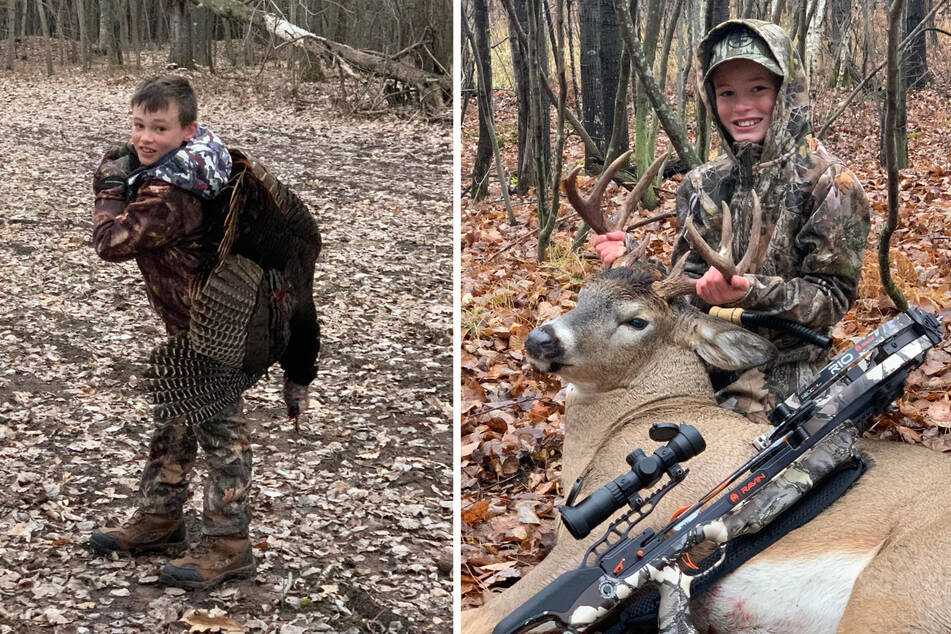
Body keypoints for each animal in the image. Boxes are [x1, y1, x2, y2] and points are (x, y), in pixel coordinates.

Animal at [464, 158, 951, 632]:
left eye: (636, 321)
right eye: (585, 293)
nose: (539, 339)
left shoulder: (571, 554)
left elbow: (481, 617)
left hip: (893, 596)